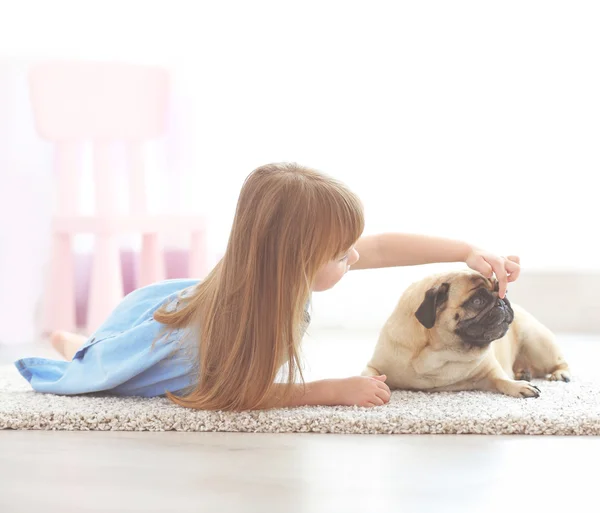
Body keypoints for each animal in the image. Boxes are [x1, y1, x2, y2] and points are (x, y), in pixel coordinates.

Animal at [360, 270, 572, 398]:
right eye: (477, 301)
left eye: (504, 292)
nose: (502, 302)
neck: (439, 353)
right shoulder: (376, 366)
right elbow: (369, 375)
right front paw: (369, 388)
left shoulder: (490, 373)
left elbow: (503, 379)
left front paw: (519, 386)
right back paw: (523, 372)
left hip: (537, 343)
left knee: (560, 362)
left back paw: (558, 374)